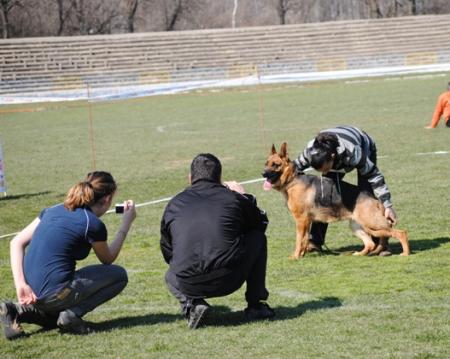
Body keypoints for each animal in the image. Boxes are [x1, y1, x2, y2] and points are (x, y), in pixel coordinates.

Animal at [262, 143, 410, 258]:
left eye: (275, 164)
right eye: (266, 164)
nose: (263, 174)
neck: (292, 180)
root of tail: (375, 199)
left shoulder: (301, 220)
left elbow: (299, 240)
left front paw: (295, 256)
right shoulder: (306, 221)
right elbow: (304, 240)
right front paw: (302, 254)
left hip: (373, 224)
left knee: (401, 233)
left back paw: (405, 253)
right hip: (359, 226)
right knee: (370, 243)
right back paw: (359, 254)